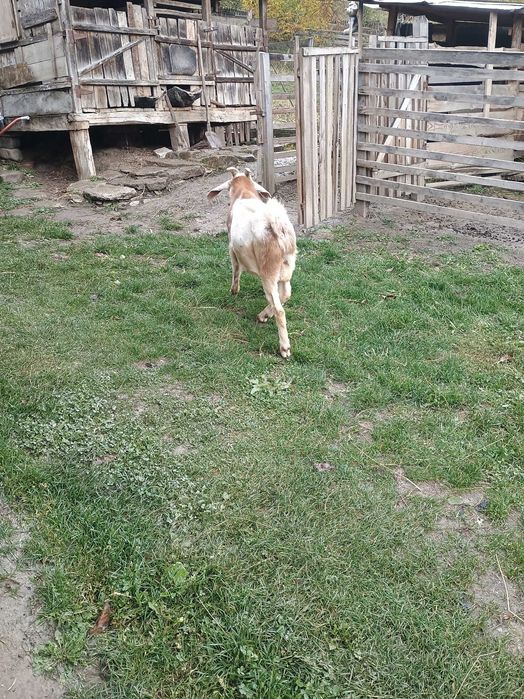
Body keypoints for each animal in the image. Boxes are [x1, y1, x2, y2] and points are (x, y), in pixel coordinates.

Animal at [208, 167, 297, 358]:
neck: (245, 193)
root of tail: (277, 226)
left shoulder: (232, 247)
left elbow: (235, 269)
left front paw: (234, 291)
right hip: (286, 270)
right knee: (285, 295)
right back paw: (263, 315)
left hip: (268, 272)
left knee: (279, 309)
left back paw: (284, 348)